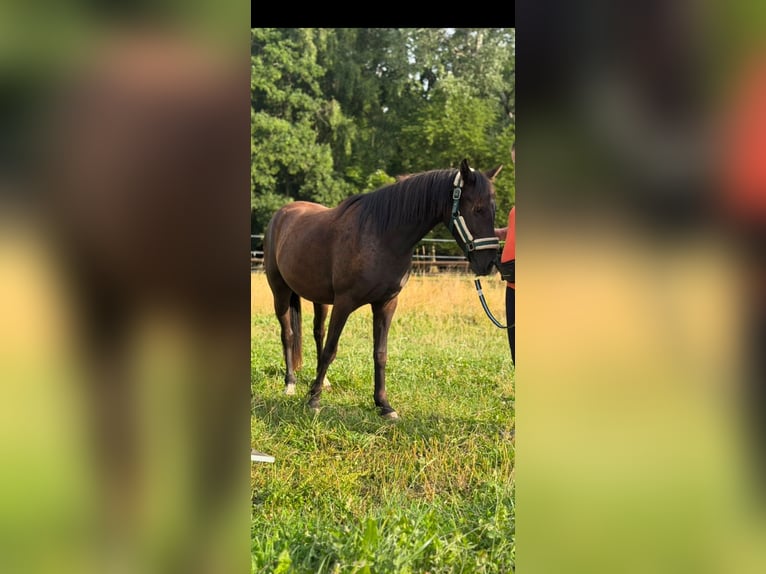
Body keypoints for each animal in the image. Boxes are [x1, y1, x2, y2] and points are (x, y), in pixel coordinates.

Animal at [264, 159, 503, 419]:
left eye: (494, 209)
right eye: (477, 209)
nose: (488, 262)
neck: (381, 236)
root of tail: (281, 214)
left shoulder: (386, 303)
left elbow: (380, 353)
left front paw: (383, 405)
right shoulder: (344, 302)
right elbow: (331, 349)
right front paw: (314, 400)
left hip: (320, 299)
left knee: (318, 332)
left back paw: (322, 381)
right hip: (280, 292)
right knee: (288, 334)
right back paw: (290, 383)